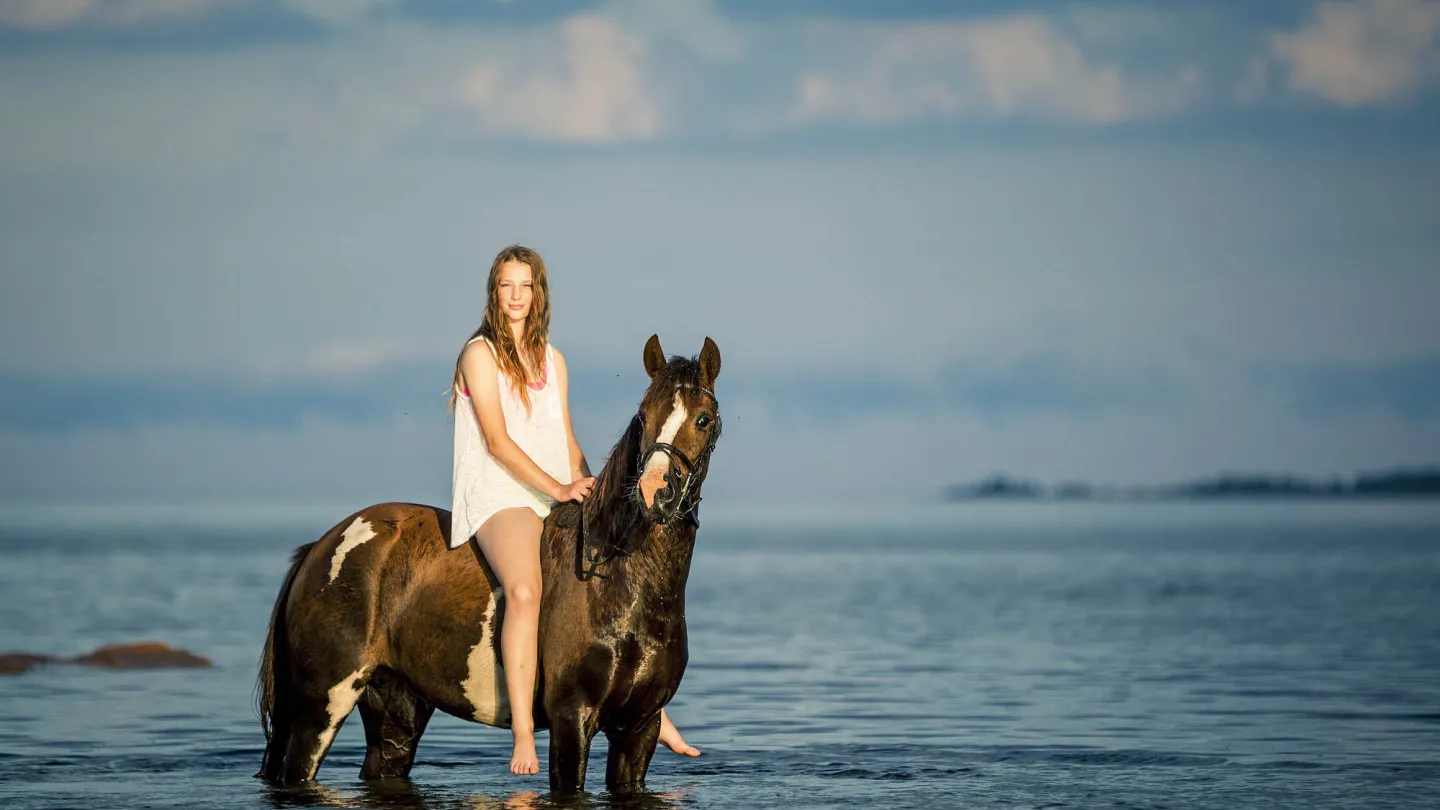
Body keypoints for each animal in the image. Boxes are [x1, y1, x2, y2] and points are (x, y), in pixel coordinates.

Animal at [253, 331, 720, 789]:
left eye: (703, 419)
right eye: (644, 415)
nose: (654, 491)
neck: (620, 588)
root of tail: (320, 546)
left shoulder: (638, 729)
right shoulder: (572, 720)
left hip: (395, 709)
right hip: (320, 708)